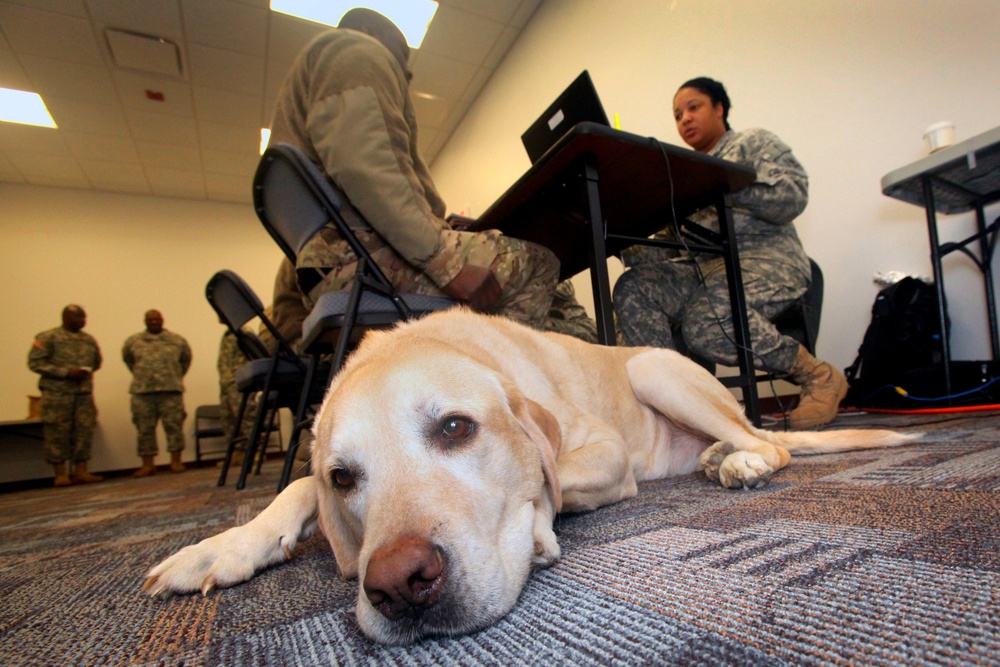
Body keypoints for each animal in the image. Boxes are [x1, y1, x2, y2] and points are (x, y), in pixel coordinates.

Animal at [145, 310, 916, 648]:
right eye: (344, 476)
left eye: (457, 427)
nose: (399, 583)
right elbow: (291, 489)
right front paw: (222, 546)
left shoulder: (604, 451)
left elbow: (550, 483)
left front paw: (536, 524)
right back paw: (712, 457)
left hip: (655, 368)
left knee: (767, 442)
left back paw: (743, 459)